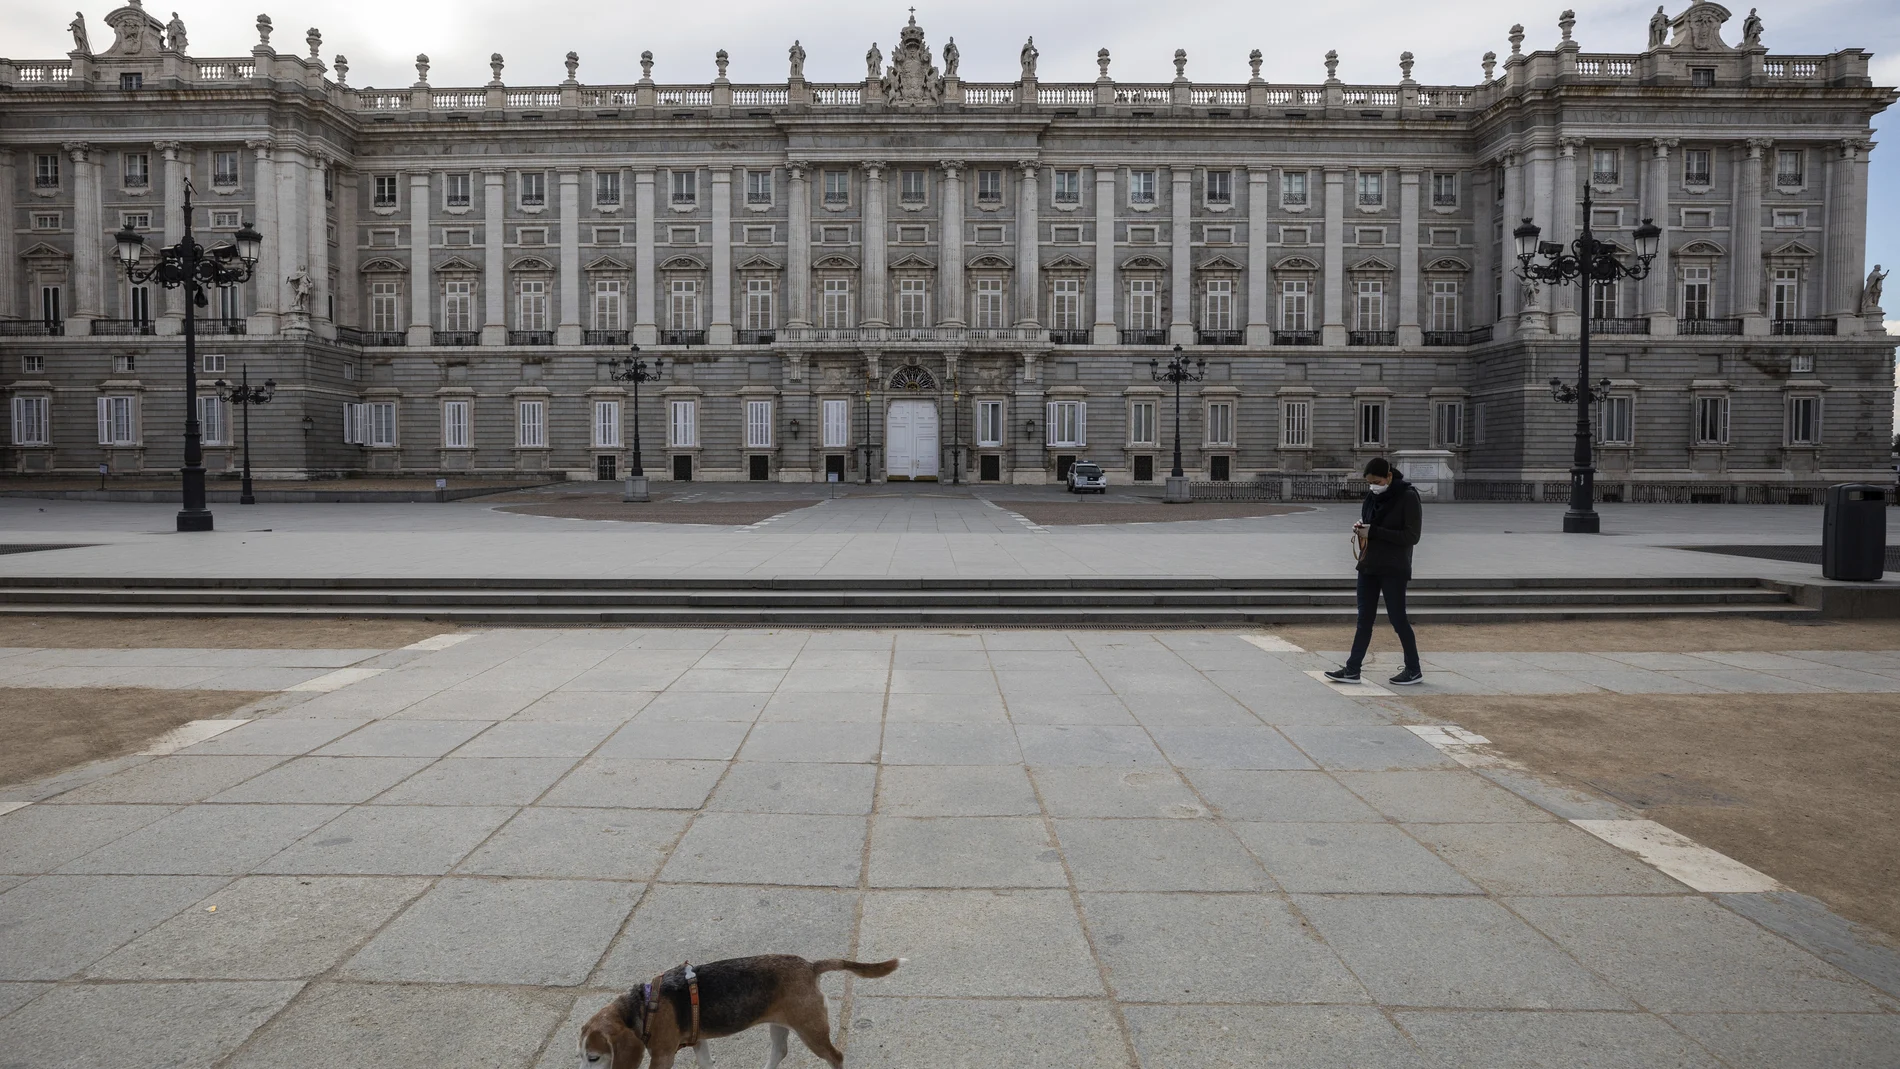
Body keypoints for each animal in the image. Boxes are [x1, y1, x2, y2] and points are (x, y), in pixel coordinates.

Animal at [573, 953, 900, 1069]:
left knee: (836, 1057)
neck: (641, 1005)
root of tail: (810, 966)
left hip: (811, 1030)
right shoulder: (699, 1042)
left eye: (594, 1057)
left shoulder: (662, 1055)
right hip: (780, 1024)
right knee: (779, 1053)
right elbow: (705, 1063)